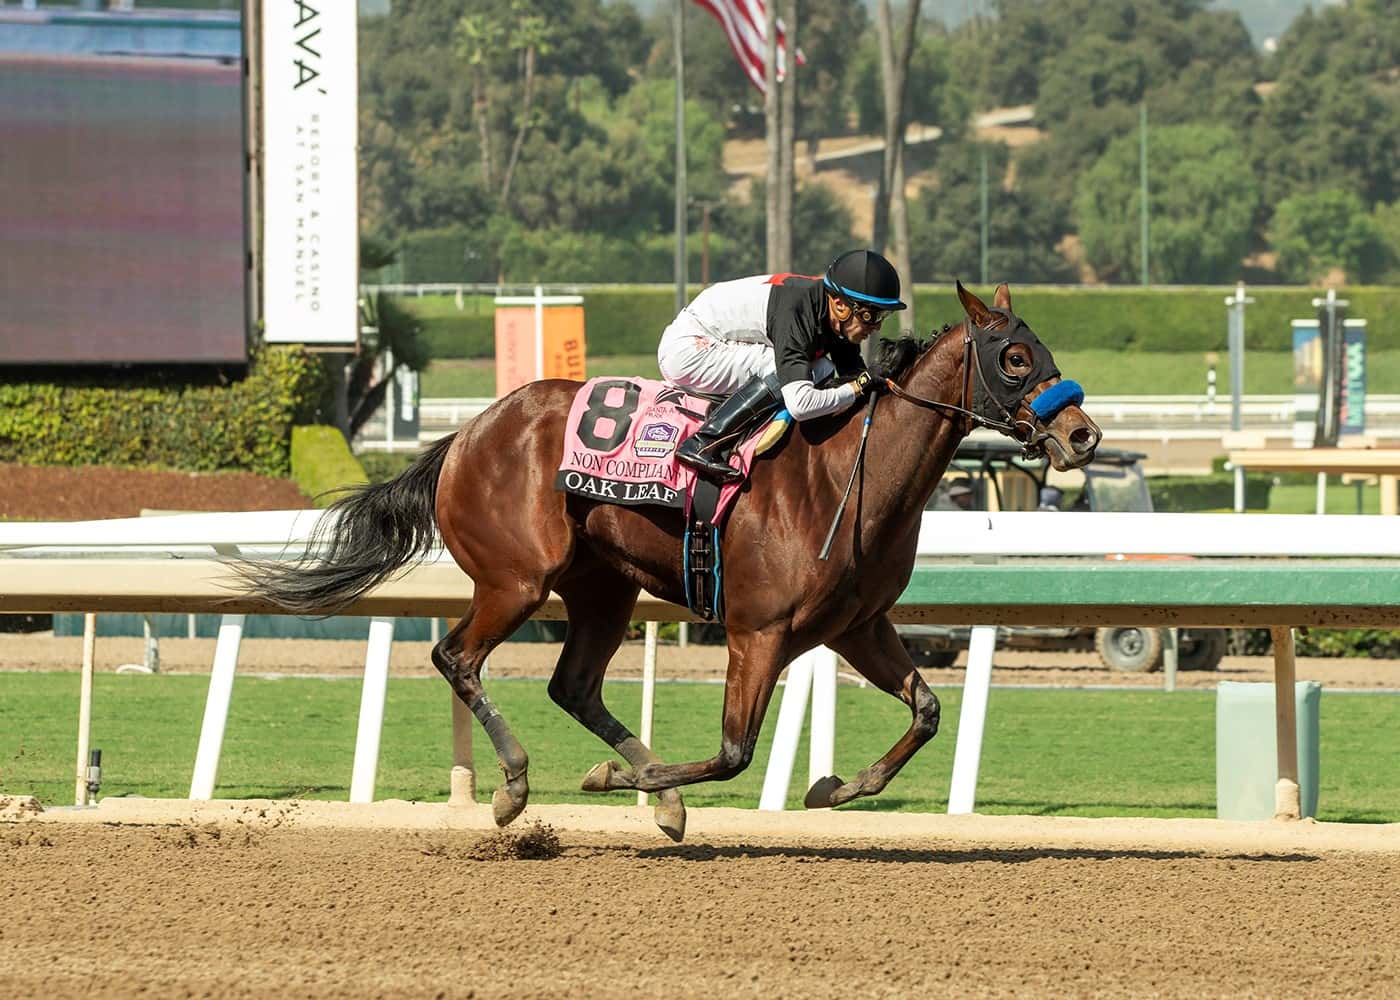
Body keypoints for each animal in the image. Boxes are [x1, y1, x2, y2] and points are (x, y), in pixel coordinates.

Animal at [243, 280, 1103, 840]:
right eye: (1014, 357)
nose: (1084, 435)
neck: (845, 476)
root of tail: (467, 434)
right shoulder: (758, 632)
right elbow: (731, 753)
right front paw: (627, 782)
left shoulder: (856, 625)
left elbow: (926, 710)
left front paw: (835, 785)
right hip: (518, 579)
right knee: (458, 657)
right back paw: (517, 785)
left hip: (602, 590)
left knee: (573, 686)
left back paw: (647, 794)